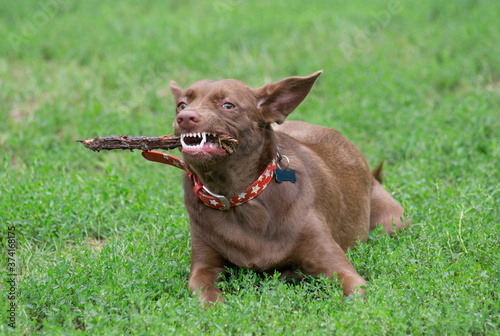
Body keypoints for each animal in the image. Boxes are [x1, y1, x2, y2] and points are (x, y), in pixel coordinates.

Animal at [166, 71, 408, 308]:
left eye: (228, 105)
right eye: (181, 105)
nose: (185, 117)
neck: (237, 197)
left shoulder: (341, 270)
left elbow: (352, 297)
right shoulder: (203, 268)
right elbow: (207, 296)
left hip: (393, 222)